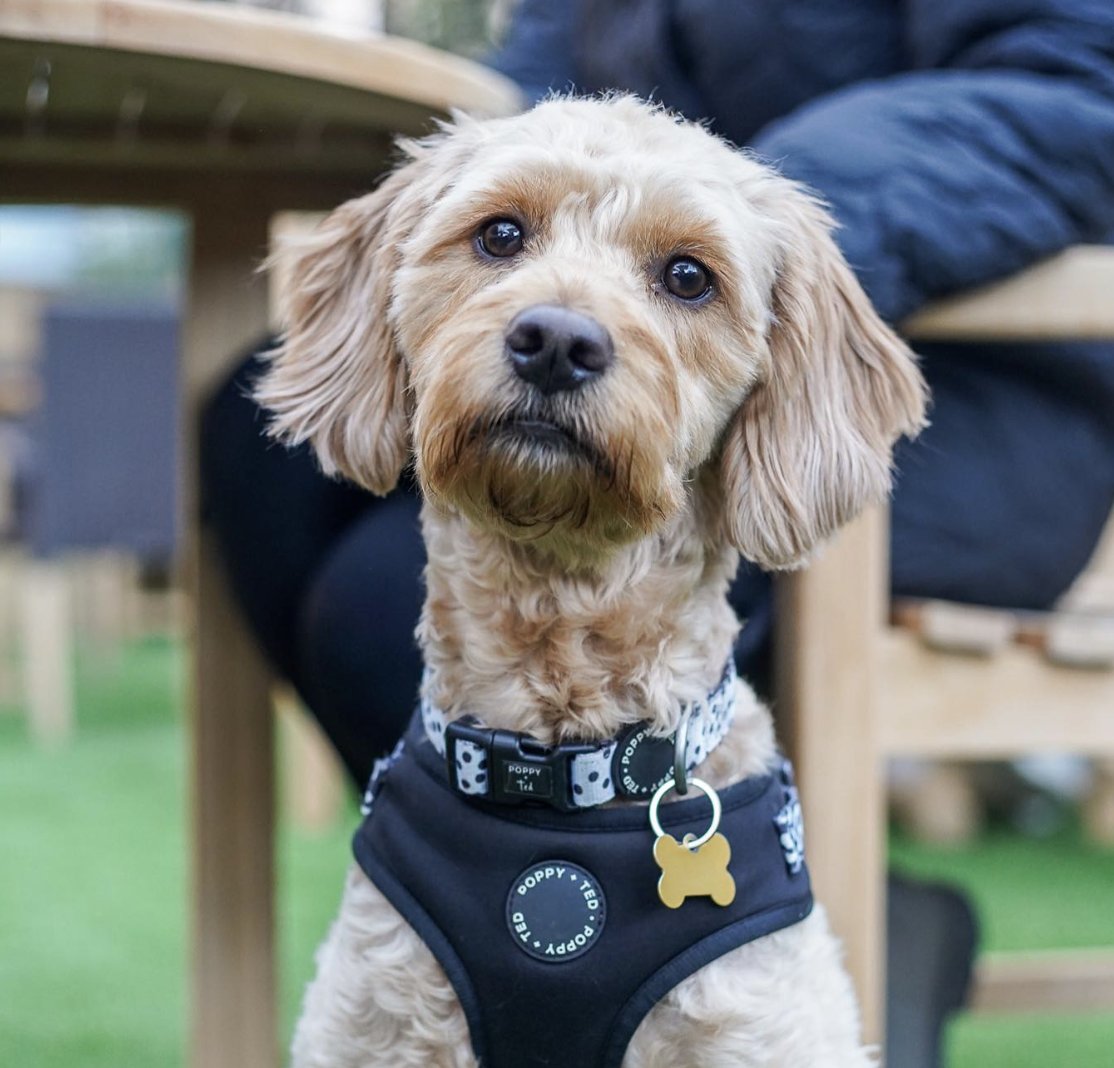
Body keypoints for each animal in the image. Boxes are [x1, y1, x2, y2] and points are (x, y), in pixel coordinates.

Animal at [256, 95, 926, 1064]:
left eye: (688, 276)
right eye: (500, 233)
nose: (557, 341)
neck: (559, 772)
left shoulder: (754, 1024)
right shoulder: (377, 1018)